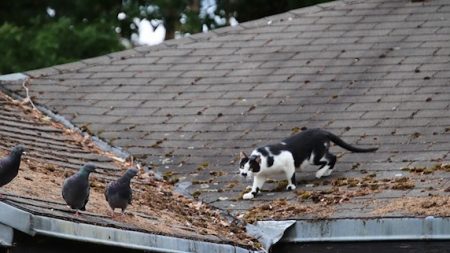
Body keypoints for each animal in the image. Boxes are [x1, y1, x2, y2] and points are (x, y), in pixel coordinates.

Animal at [237, 128, 378, 200]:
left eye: (251, 167)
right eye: (242, 166)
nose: (244, 174)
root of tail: (321, 131)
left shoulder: (288, 160)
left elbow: (290, 175)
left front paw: (291, 186)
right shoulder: (260, 175)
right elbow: (256, 186)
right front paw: (251, 194)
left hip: (313, 157)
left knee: (332, 157)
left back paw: (320, 173)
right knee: (331, 157)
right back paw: (326, 172)